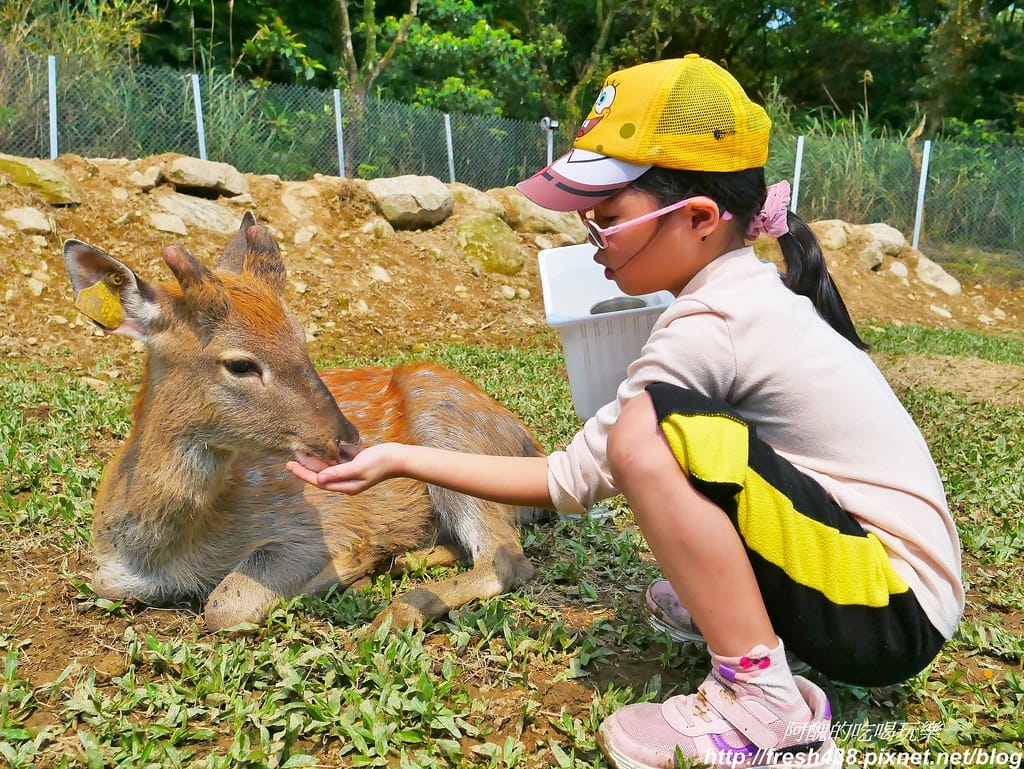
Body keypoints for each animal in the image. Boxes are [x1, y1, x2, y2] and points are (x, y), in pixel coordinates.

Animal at [62, 211, 545, 631]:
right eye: (240, 364)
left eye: (303, 343)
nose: (348, 440)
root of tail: (529, 444)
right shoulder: (109, 569)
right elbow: (104, 582)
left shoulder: (310, 527)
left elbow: (225, 604)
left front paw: (355, 563)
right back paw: (405, 560)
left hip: (450, 431)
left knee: (505, 558)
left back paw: (391, 611)